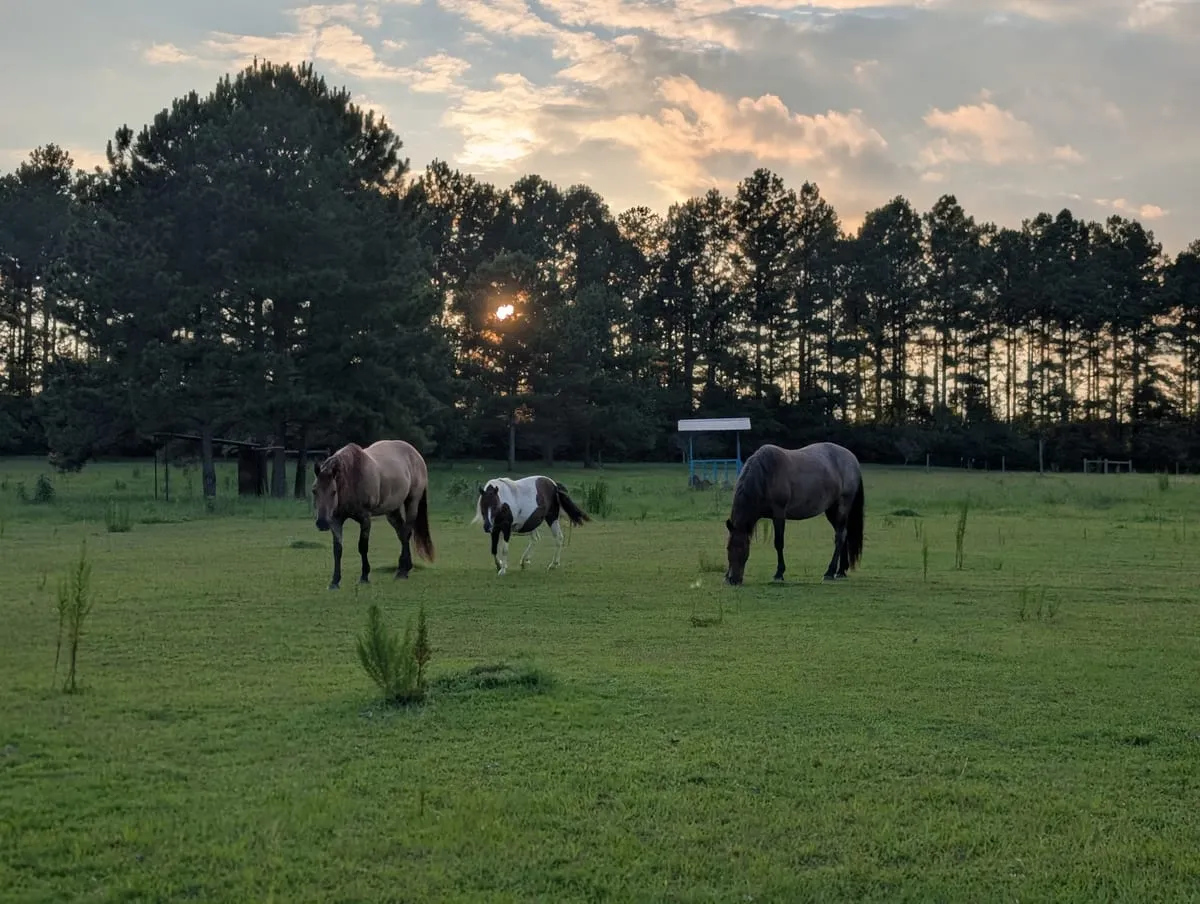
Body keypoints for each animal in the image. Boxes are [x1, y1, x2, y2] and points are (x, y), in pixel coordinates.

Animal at [311, 439, 435, 590]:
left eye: (333, 492)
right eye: (314, 491)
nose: (322, 523)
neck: (352, 478)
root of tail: (416, 454)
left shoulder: (365, 518)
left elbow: (363, 546)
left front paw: (364, 576)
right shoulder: (336, 521)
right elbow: (337, 550)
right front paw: (334, 581)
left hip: (412, 502)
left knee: (406, 532)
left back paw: (403, 572)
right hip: (392, 511)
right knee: (401, 534)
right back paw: (403, 568)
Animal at [724, 441, 864, 586]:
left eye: (742, 548)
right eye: (728, 548)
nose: (732, 580)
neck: (766, 476)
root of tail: (852, 458)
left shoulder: (779, 515)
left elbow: (778, 543)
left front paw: (779, 573)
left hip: (842, 506)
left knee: (839, 536)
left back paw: (829, 572)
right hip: (831, 510)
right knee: (843, 534)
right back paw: (841, 571)